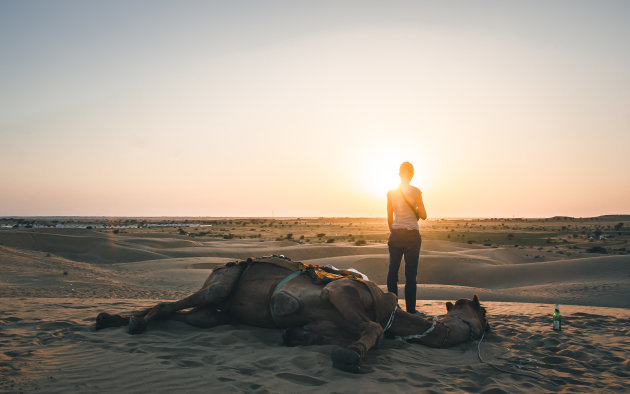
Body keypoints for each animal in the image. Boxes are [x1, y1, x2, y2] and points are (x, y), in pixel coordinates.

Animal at [96, 255, 492, 372]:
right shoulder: (340, 293)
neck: (393, 314)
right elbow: (373, 330)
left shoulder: (323, 323)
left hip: (214, 315)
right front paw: (351, 356)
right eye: (482, 313)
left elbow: (305, 333)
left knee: (181, 315)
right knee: (169, 305)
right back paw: (129, 322)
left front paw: (294, 336)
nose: (490, 331)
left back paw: (114, 319)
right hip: (221, 285)